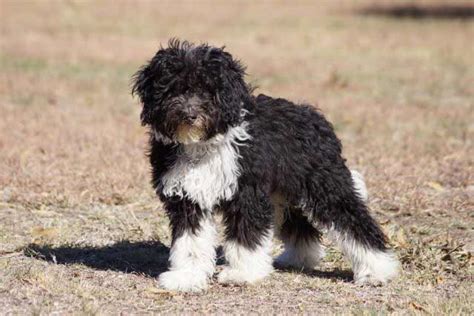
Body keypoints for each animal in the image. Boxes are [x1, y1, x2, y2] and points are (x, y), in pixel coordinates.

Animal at [131, 39, 398, 292]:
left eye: (207, 89)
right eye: (172, 89)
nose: (189, 114)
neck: (202, 145)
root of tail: (314, 116)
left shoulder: (246, 194)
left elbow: (245, 238)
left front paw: (242, 273)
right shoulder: (188, 199)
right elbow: (190, 242)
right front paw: (186, 277)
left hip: (326, 186)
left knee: (354, 222)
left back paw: (377, 269)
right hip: (285, 193)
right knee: (299, 225)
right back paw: (299, 258)